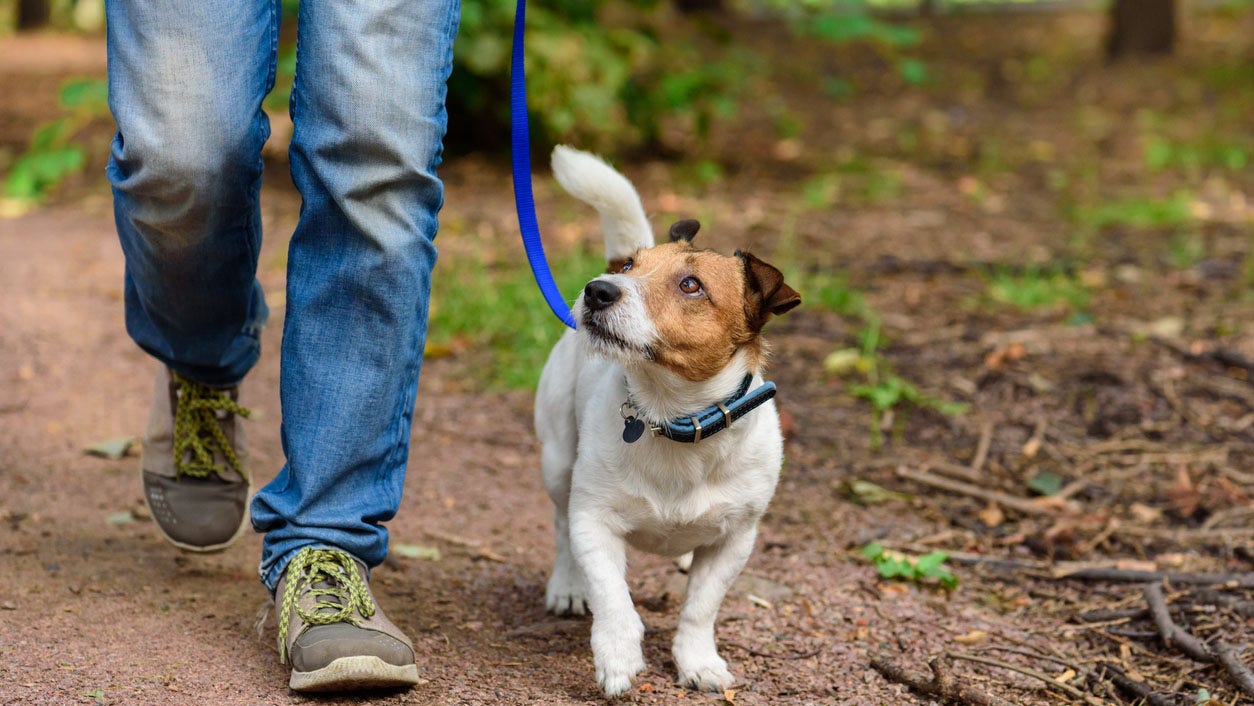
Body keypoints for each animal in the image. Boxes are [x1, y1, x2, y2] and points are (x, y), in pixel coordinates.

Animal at [534, 146, 797, 697]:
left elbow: (701, 608)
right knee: (561, 527)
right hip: (557, 461)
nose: (597, 289)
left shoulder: (735, 541)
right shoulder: (594, 520)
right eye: (631, 266)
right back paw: (568, 585)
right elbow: (612, 595)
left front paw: (698, 661)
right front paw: (617, 655)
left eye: (691, 285)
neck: (672, 417)